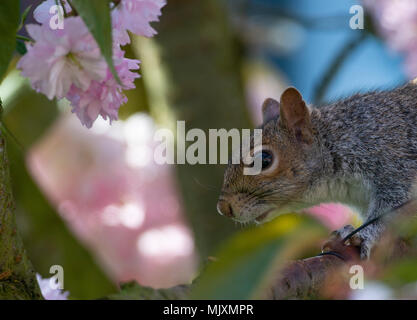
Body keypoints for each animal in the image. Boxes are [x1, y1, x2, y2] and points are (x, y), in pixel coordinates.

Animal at [216, 84, 416, 258]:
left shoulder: (392, 161)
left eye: (264, 159)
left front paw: (364, 235)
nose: (224, 208)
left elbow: (388, 210)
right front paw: (347, 230)